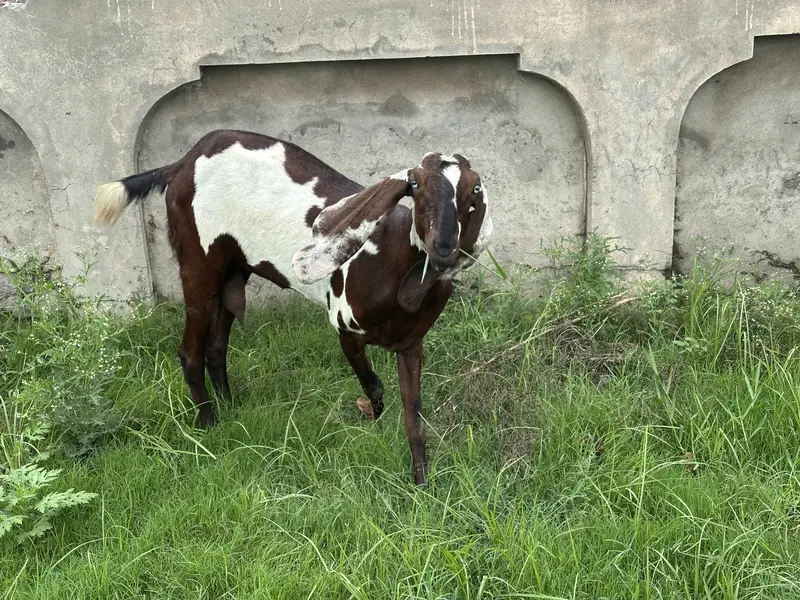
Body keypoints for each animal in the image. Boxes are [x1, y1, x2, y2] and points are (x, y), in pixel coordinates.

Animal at [93, 129, 493, 485]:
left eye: (474, 190)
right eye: (415, 185)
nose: (444, 247)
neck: (392, 262)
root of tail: (181, 163)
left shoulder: (411, 345)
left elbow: (414, 417)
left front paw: (421, 482)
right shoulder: (344, 328)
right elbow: (375, 387)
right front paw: (369, 418)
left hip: (233, 269)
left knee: (216, 348)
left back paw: (230, 409)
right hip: (199, 263)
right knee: (190, 352)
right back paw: (208, 427)